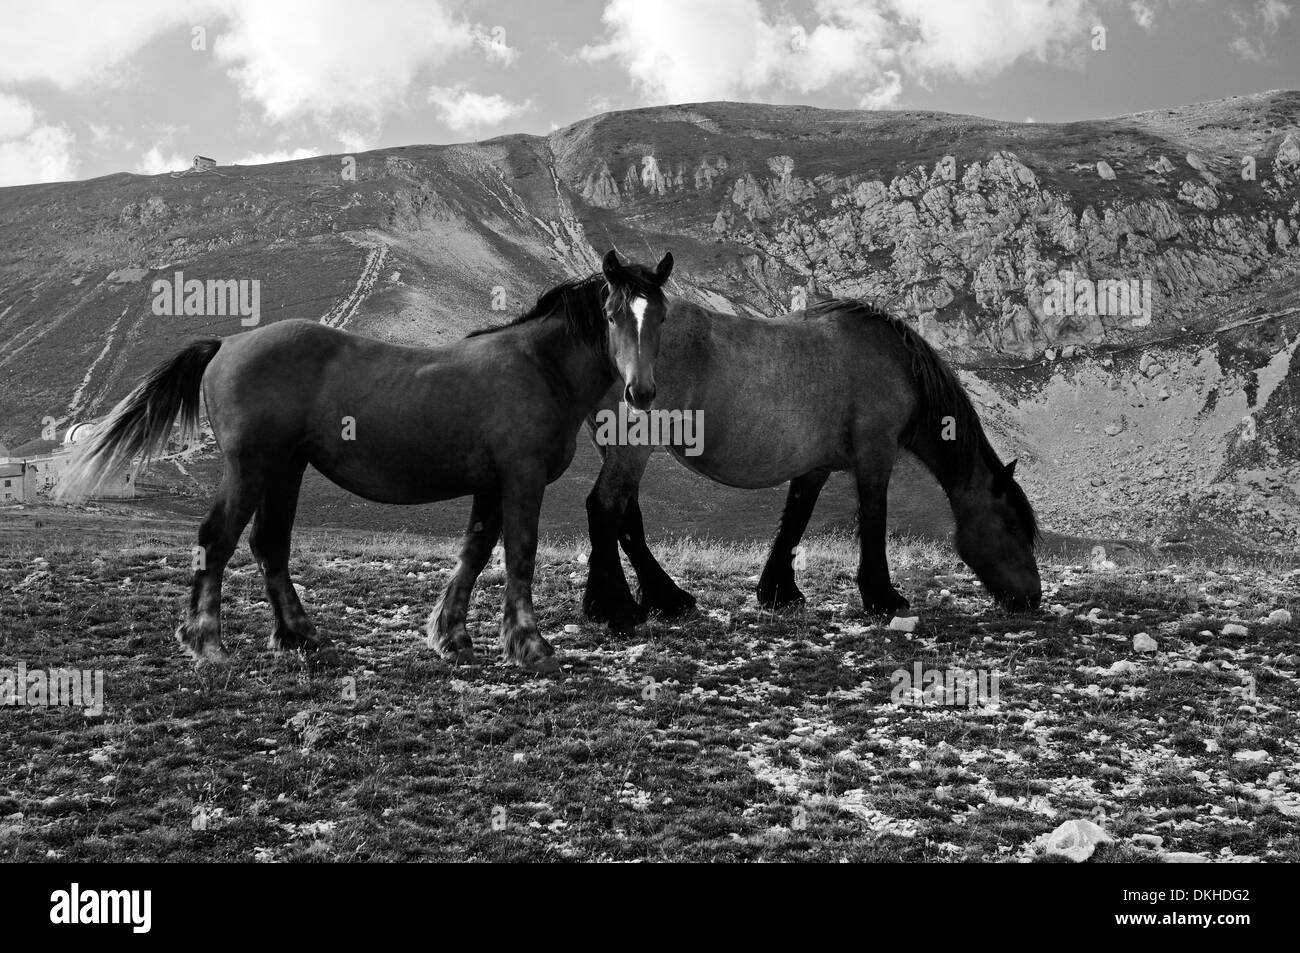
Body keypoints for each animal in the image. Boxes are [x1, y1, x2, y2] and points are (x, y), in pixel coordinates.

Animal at [58, 249, 681, 670]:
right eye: (613, 312)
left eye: (661, 315)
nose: (642, 391)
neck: (538, 366)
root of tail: (228, 344)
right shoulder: (521, 479)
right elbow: (519, 553)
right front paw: (528, 644)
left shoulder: (490, 484)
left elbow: (475, 552)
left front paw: (451, 636)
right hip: (251, 467)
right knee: (218, 540)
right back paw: (208, 643)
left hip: (285, 469)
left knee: (269, 544)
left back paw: (299, 634)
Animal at [585, 295, 1040, 624]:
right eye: (1012, 526)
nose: (1032, 597)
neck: (896, 364)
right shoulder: (876, 453)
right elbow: (874, 520)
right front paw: (882, 598)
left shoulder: (814, 468)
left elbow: (794, 522)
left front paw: (778, 592)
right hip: (635, 443)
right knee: (606, 507)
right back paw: (615, 607)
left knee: (626, 517)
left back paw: (665, 599)